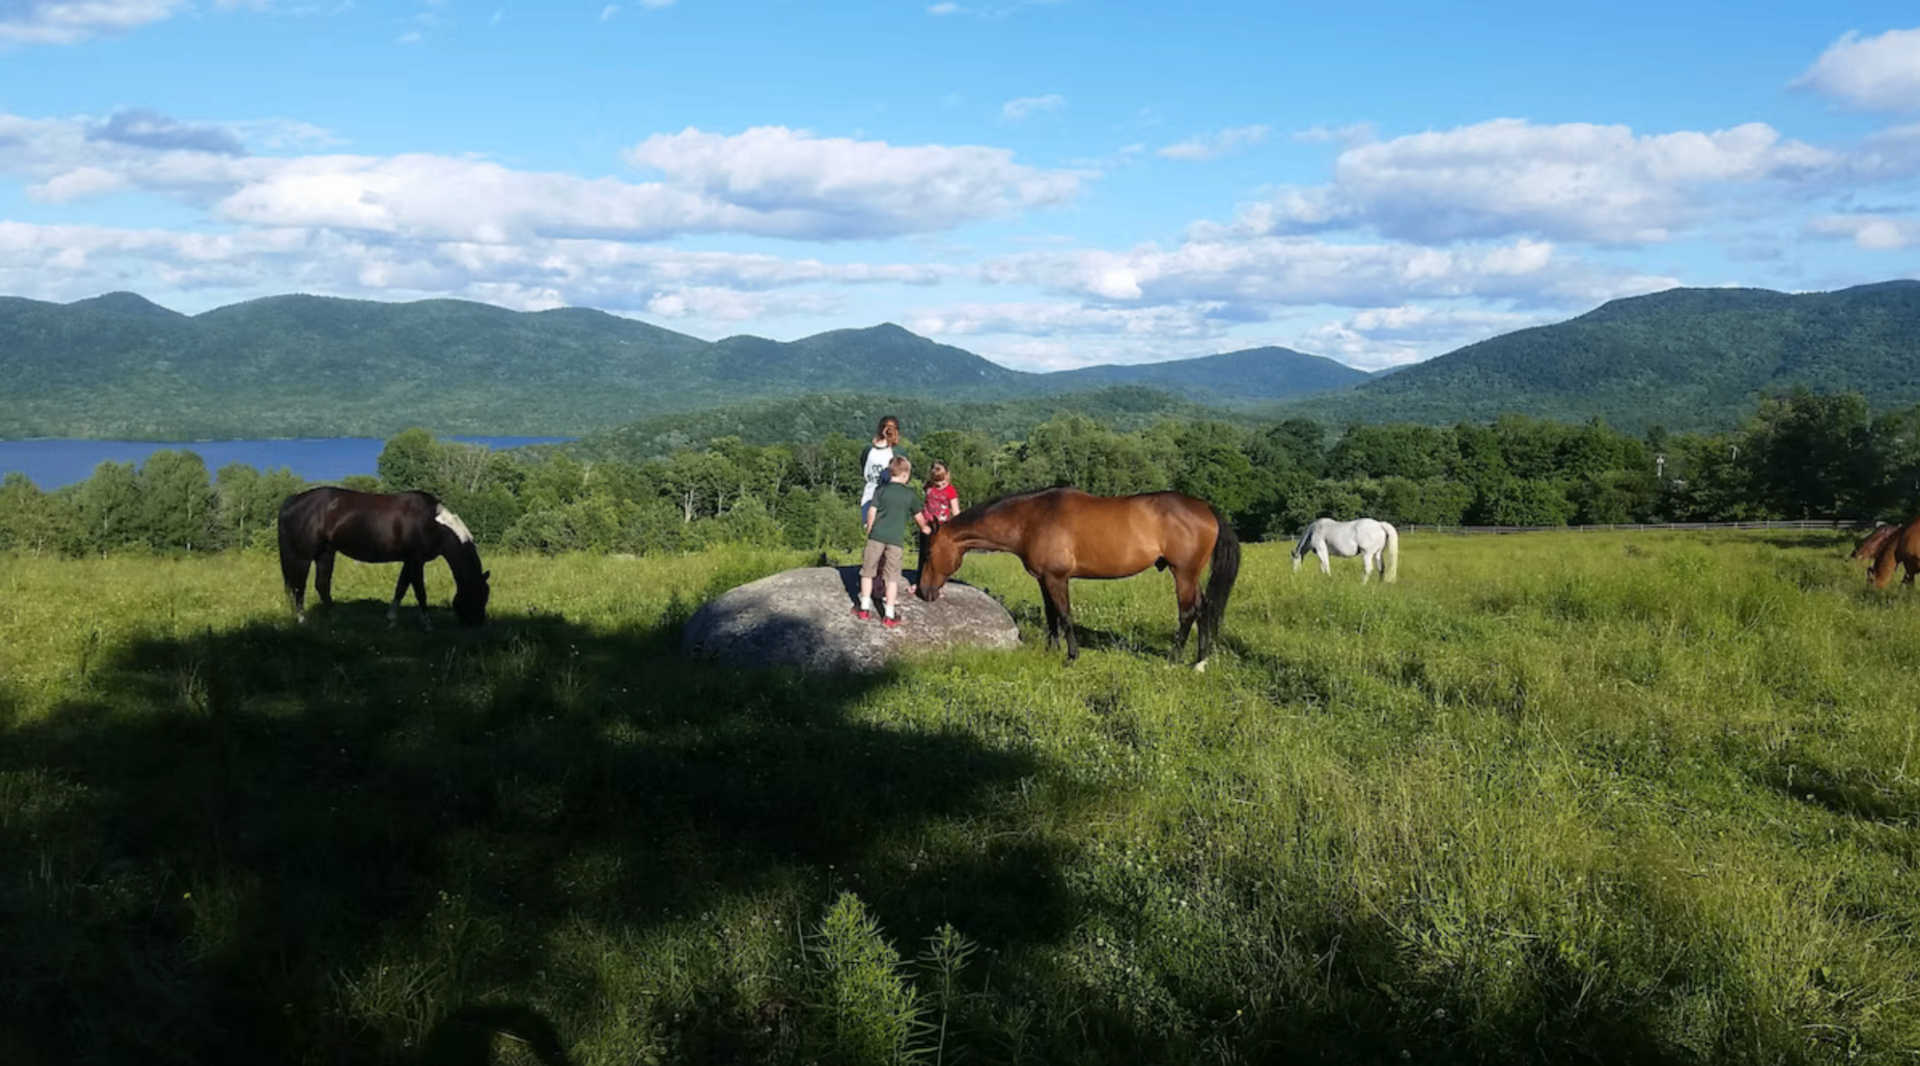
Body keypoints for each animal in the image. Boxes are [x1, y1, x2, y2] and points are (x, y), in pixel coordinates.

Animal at [277, 487, 491, 628]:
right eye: (478, 594)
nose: (478, 623)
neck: (433, 524)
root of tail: (293, 500)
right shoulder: (416, 560)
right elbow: (420, 591)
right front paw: (427, 623)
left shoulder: (410, 561)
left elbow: (401, 588)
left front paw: (391, 619)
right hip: (302, 557)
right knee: (298, 587)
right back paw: (302, 621)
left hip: (326, 553)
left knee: (322, 585)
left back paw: (334, 619)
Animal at [914, 487, 1240, 668]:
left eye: (928, 553)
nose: (923, 592)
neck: (1031, 519)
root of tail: (1206, 509)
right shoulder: (1044, 579)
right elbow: (1052, 616)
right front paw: (1051, 649)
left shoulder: (1058, 578)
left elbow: (1066, 616)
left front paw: (1071, 656)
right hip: (1191, 576)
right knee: (1204, 609)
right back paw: (1199, 661)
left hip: (1183, 574)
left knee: (1187, 613)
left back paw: (1174, 660)